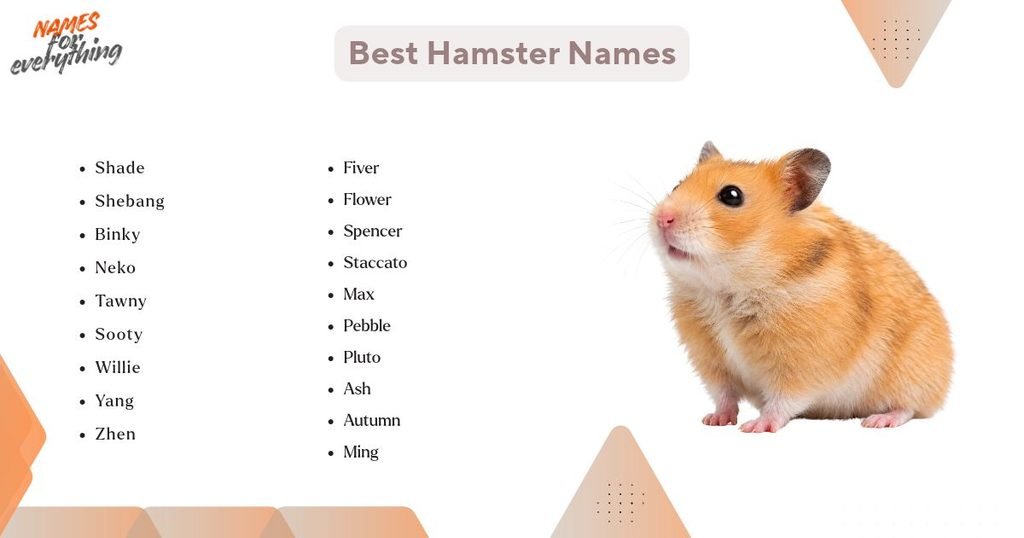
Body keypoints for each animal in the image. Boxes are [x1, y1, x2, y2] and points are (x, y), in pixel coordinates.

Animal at [651, 142, 952, 432]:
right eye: (677, 185)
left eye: (731, 196)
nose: (662, 219)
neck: (726, 291)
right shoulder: (711, 361)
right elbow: (724, 394)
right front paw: (714, 420)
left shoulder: (802, 365)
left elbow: (783, 399)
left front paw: (756, 427)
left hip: (911, 374)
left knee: (909, 407)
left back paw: (879, 421)